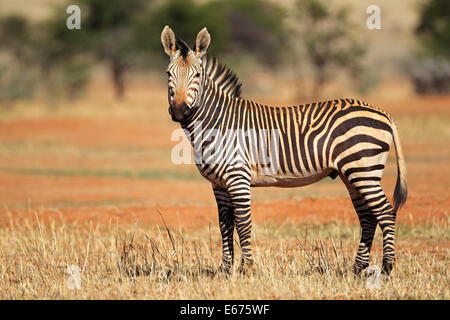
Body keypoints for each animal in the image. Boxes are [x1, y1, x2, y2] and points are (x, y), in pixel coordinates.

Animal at [161, 25, 408, 276]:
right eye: (168, 74)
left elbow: (243, 223)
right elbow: (225, 225)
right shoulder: (218, 184)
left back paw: (387, 268)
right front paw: (225, 270)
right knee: (368, 217)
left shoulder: (238, 177)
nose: (180, 110)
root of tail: (382, 112)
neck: (218, 123)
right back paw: (357, 268)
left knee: (385, 212)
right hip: (352, 174)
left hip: (364, 170)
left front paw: (247, 269)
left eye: (197, 75)